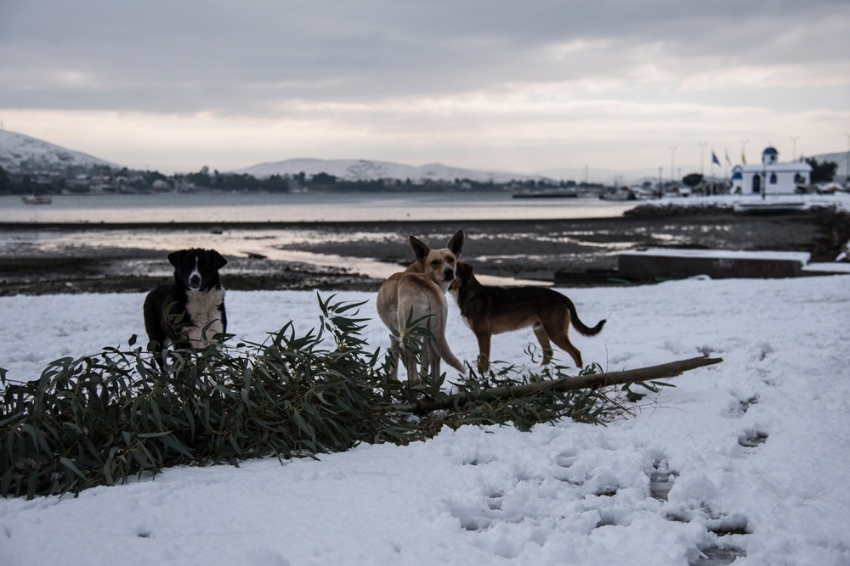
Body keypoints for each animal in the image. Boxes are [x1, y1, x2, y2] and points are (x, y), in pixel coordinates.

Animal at [374, 232, 464, 386]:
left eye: (451, 259)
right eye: (435, 262)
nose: (449, 271)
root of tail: (426, 287)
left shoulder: (395, 337)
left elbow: (394, 367)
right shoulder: (427, 336)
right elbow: (425, 364)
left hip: (407, 336)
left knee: (414, 377)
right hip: (434, 336)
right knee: (435, 369)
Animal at [450, 264, 604, 374]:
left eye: (452, 272)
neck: (470, 295)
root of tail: (560, 296)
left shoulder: (483, 335)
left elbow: (483, 360)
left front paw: (482, 378)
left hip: (555, 332)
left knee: (575, 353)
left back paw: (579, 373)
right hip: (540, 330)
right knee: (548, 353)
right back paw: (542, 372)